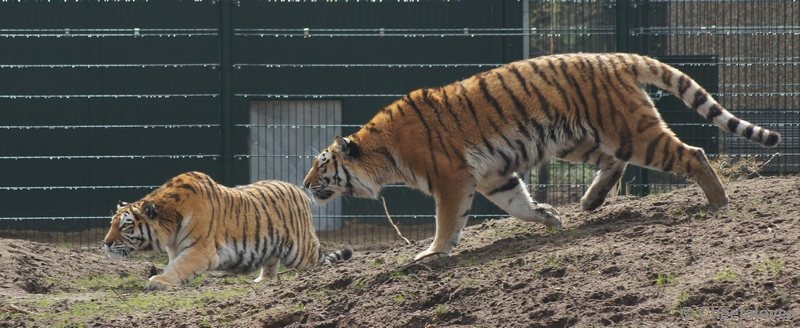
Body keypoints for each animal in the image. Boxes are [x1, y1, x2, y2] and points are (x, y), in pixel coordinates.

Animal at [101, 172, 352, 290]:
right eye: (112, 224)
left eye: (125, 225)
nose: (106, 243)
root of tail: (300, 191)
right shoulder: (177, 248)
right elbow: (176, 265)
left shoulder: (200, 250)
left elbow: (178, 267)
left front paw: (159, 281)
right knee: (271, 262)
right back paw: (264, 280)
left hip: (299, 248)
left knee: (314, 258)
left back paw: (310, 279)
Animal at [304, 52, 780, 262]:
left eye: (321, 165)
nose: (305, 186)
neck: (382, 154)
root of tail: (616, 56)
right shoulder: (492, 174)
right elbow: (518, 204)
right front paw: (550, 217)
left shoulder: (452, 178)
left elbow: (447, 221)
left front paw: (431, 253)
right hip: (578, 140)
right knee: (615, 163)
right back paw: (589, 201)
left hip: (633, 132)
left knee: (692, 153)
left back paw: (718, 201)